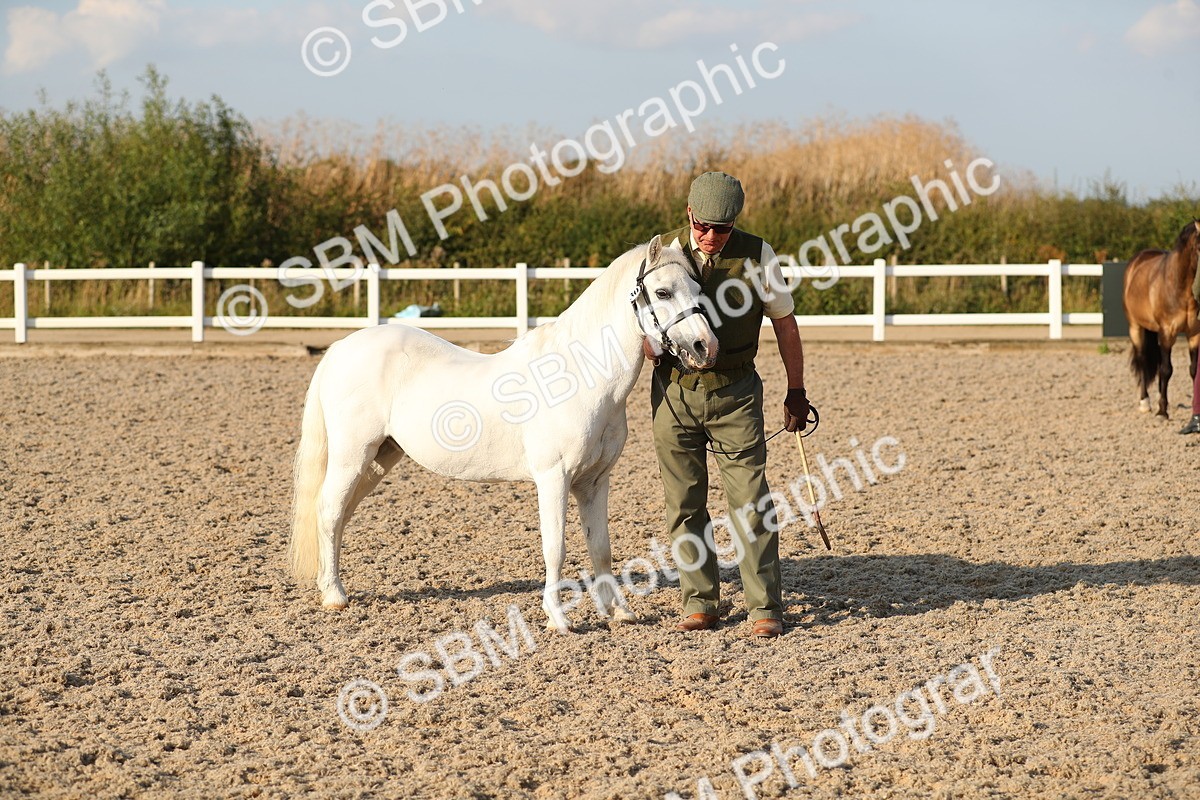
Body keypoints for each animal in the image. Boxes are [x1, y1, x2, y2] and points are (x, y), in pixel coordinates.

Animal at [287, 235, 718, 632]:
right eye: (662, 292)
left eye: (697, 288)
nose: (705, 346)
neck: (579, 376)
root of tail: (340, 347)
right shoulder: (554, 478)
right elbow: (555, 547)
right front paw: (557, 619)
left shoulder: (595, 482)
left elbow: (601, 547)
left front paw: (619, 612)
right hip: (352, 456)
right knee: (329, 511)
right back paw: (335, 596)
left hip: (380, 457)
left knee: (339, 514)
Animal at [1124, 219, 1200, 418]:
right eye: (1199, 246)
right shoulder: (1167, 332)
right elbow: (1167, 370)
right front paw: (1162, 411)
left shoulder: (1194, 333)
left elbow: (1193, 370)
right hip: (1136, 328)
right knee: (1143, 360)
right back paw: (1145, 402)